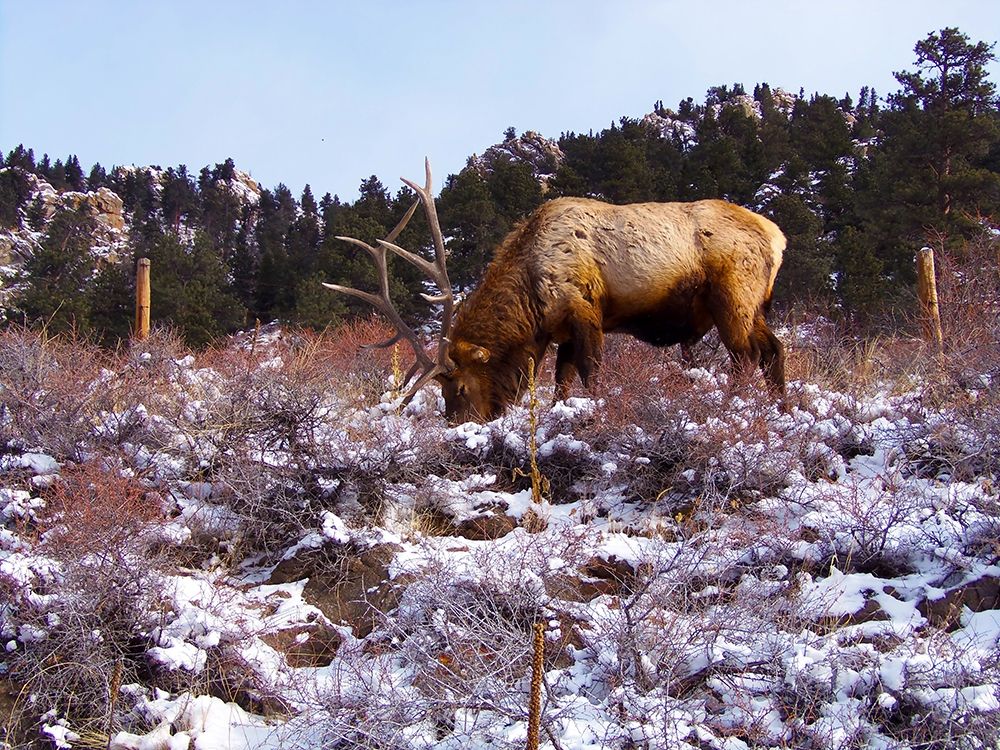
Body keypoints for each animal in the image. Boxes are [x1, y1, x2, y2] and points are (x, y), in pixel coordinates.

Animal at [325, 160, 786, 423]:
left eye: (458, 388)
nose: (459, 424)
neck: (531, 304)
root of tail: (776, 237)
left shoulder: (585, 311)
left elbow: (590, 373)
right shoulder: (559, 330)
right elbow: (561, 381)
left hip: (733, 296)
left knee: (745, 358)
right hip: (753, 306)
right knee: (773, 349)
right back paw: (782, 409)